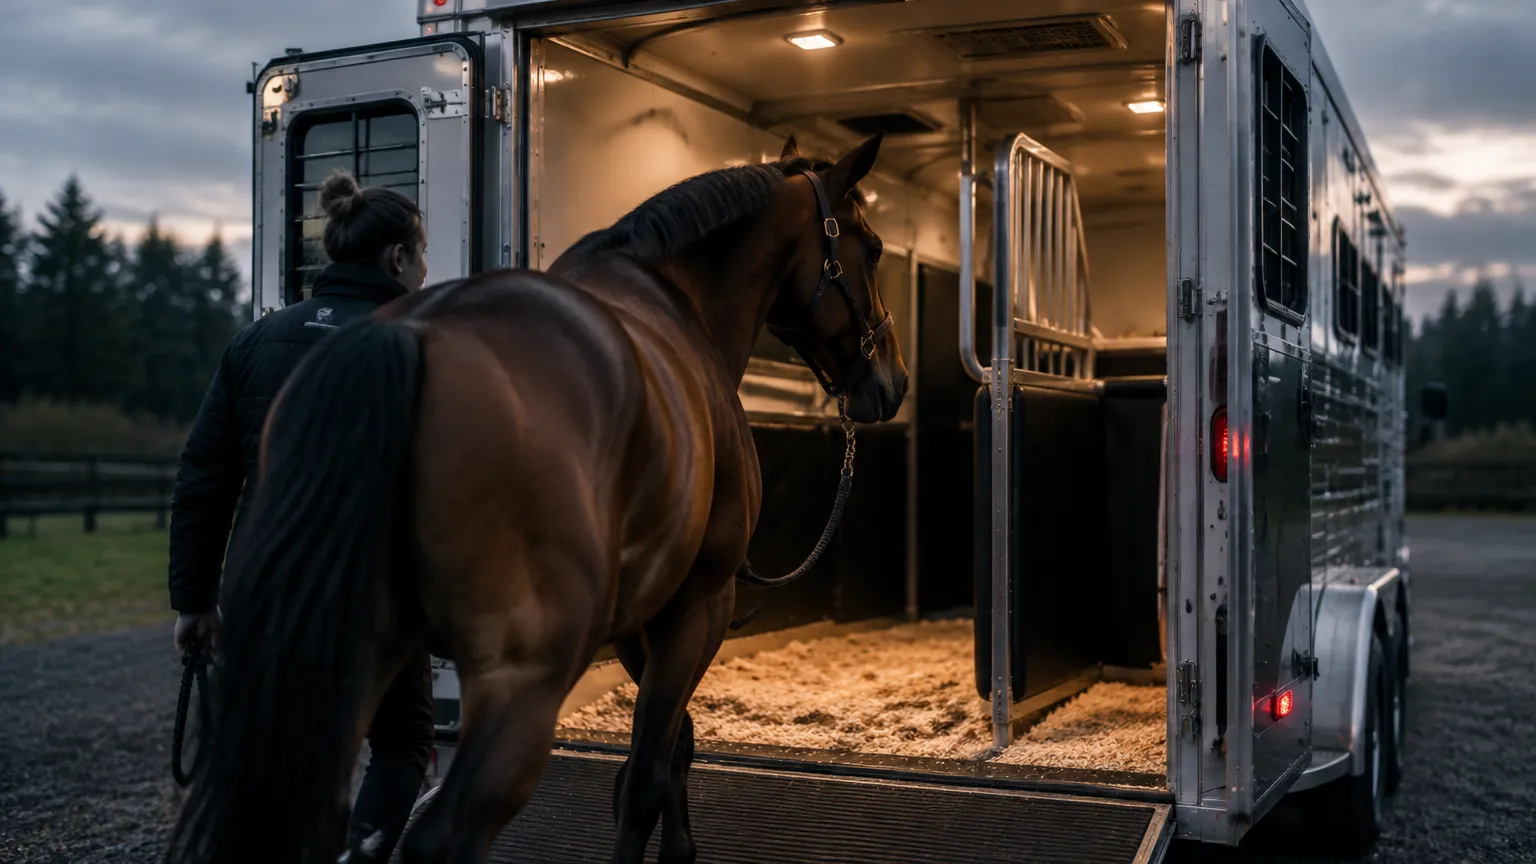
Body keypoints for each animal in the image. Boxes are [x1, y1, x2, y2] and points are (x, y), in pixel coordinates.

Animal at [164, 132, 906, 864]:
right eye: (871, 248)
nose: (891, 382)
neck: (676, 301)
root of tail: (400, 339)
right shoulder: (698, 602)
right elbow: (646, 772)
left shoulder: (638, 618)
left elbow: (672, 747)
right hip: (522, 682)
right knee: (442, 837)